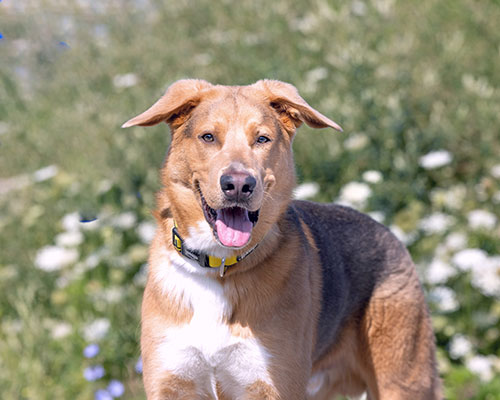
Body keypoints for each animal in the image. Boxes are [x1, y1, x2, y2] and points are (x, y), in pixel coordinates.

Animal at [122, 79, 442, 398]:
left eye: (262, 139)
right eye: (208, 137)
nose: (238, 185)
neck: (219, 267)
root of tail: (390, 235)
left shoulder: (272, 386)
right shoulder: (171, 383)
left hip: (402, 379)